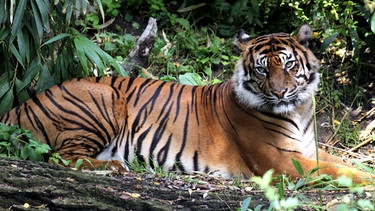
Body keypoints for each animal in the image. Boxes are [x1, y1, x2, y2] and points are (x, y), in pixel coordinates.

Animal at [0, 24, 374, 183]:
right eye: (262, 69)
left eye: (290, 65)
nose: (280, 93)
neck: (297, 110)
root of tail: (20, 105)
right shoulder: (282, 161)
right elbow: (340, 171)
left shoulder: (308, 149)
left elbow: (345, 162)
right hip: (101, 100)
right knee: (58, 156)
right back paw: (116, 167)